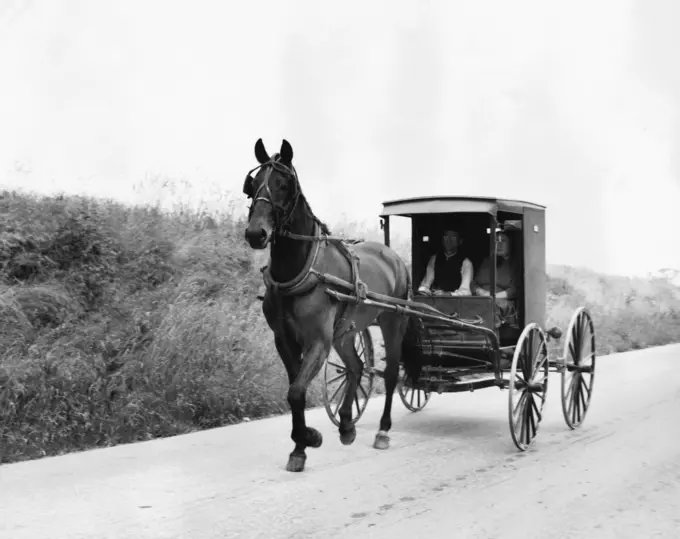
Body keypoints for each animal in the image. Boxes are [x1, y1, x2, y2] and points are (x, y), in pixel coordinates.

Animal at [242, 139, 418, 472]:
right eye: (253, 184)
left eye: (283, 184)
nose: (256, 233)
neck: (298, 270)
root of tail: (394, 257)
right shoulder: (284, 340)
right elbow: (294, 391)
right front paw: (301, 444)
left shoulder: (318, 341)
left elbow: (296, 390)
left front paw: (307, 439)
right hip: (346, 331)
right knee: (356, 366)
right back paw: (347, 424)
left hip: (393, 322)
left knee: (390, 374)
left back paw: (383, 430)